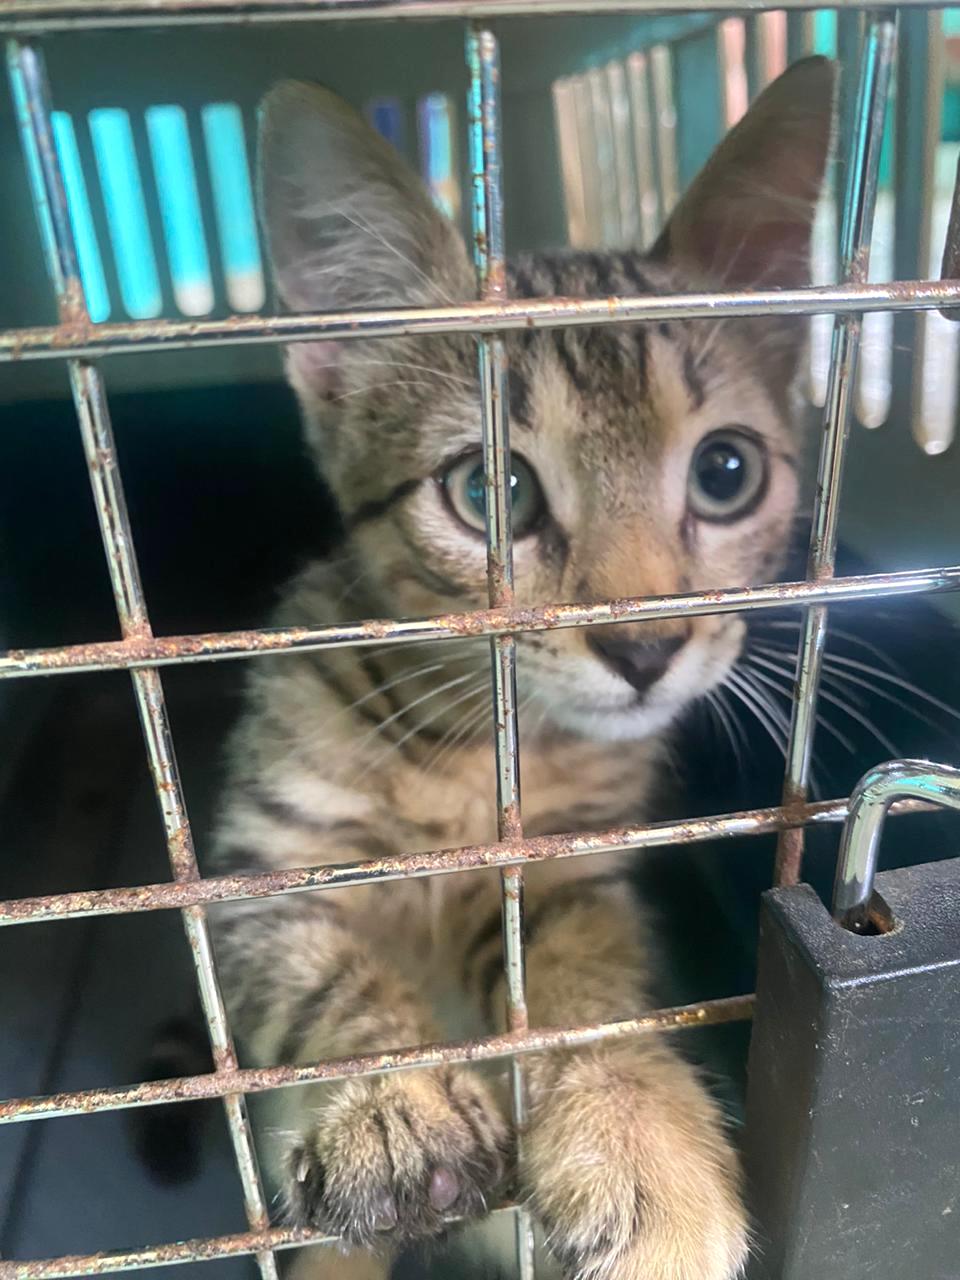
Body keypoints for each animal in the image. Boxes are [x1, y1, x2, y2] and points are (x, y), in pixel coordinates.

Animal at [208, 57, 834, 1280]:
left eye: (726, 471)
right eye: (488, 491)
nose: (644, 646)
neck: (462, 743)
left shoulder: (578, 865)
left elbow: (581, 974)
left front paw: (637, 1126)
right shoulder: (258, 876)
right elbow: (314, 964)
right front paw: (389, 1096)